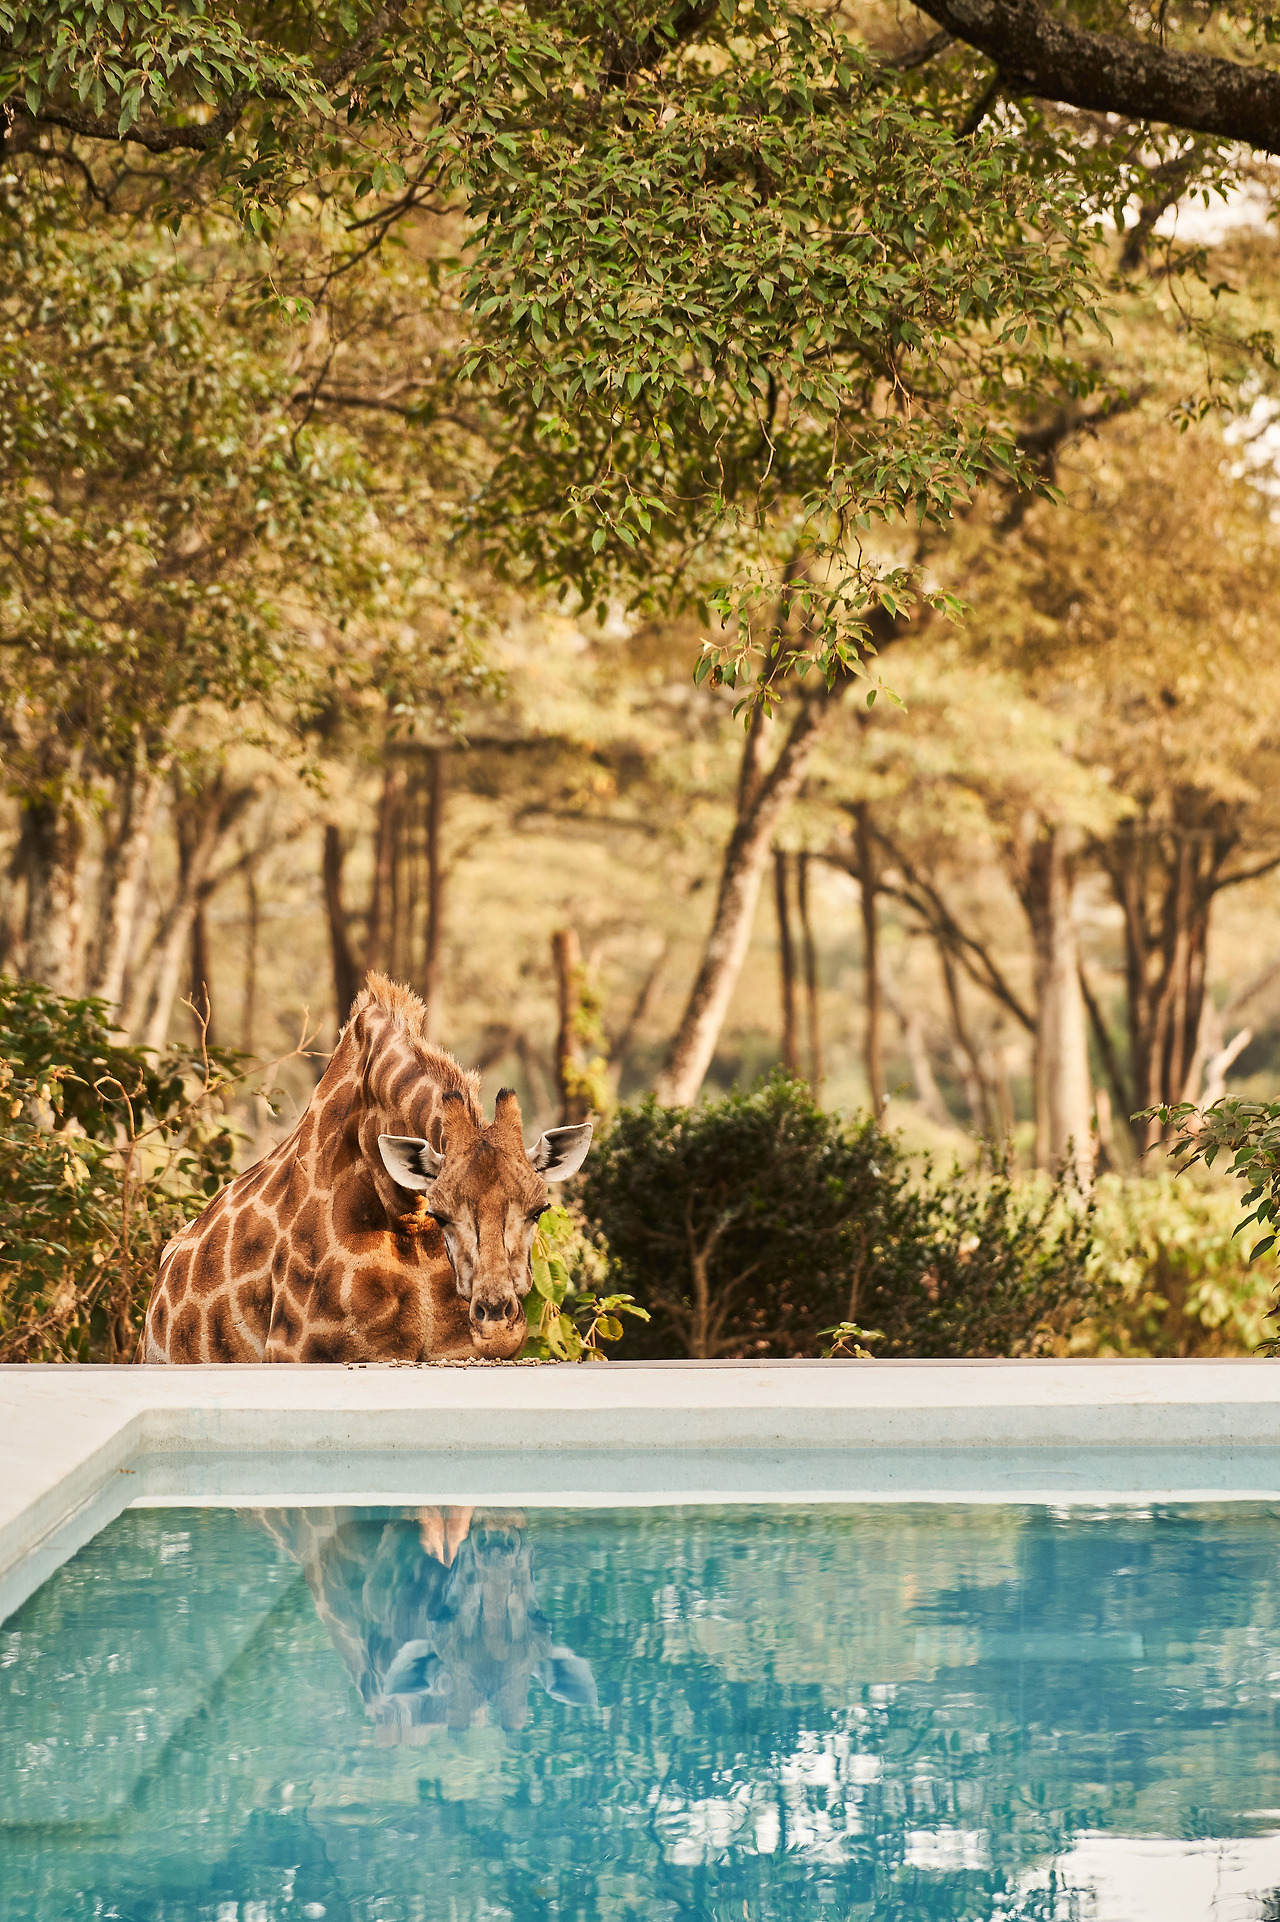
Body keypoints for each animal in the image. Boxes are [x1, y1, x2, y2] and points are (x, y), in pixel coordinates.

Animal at [141, 973, 593, 1363]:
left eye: (538, 1211)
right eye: (442, 1215)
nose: (498, 1329)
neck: (407, 1220)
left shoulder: (453, 1353)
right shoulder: (299, 1355)